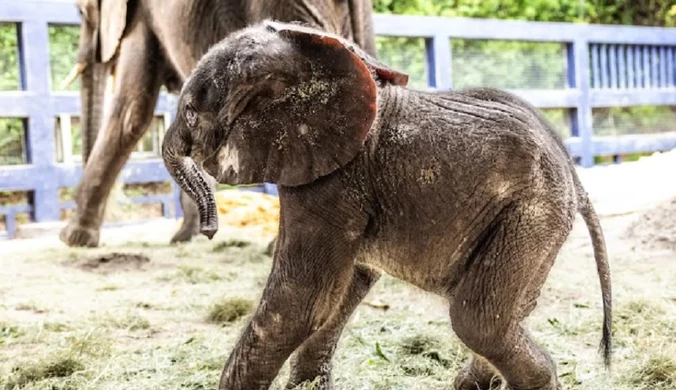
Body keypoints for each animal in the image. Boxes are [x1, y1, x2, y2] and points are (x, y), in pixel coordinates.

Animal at [60, 0, 378, 247]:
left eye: (82, 11)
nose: (210, 232)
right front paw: (185, 238)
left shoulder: (142, 18)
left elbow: (131, 111)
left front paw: (73, 238)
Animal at [162, 20, 612, 390]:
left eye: (191, 109)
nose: (208, 230)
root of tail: (574, 175)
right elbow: (343, 290)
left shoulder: (333, 180)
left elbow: (303, 301)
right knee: (510, 311)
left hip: (531, 211)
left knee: (478, 320)